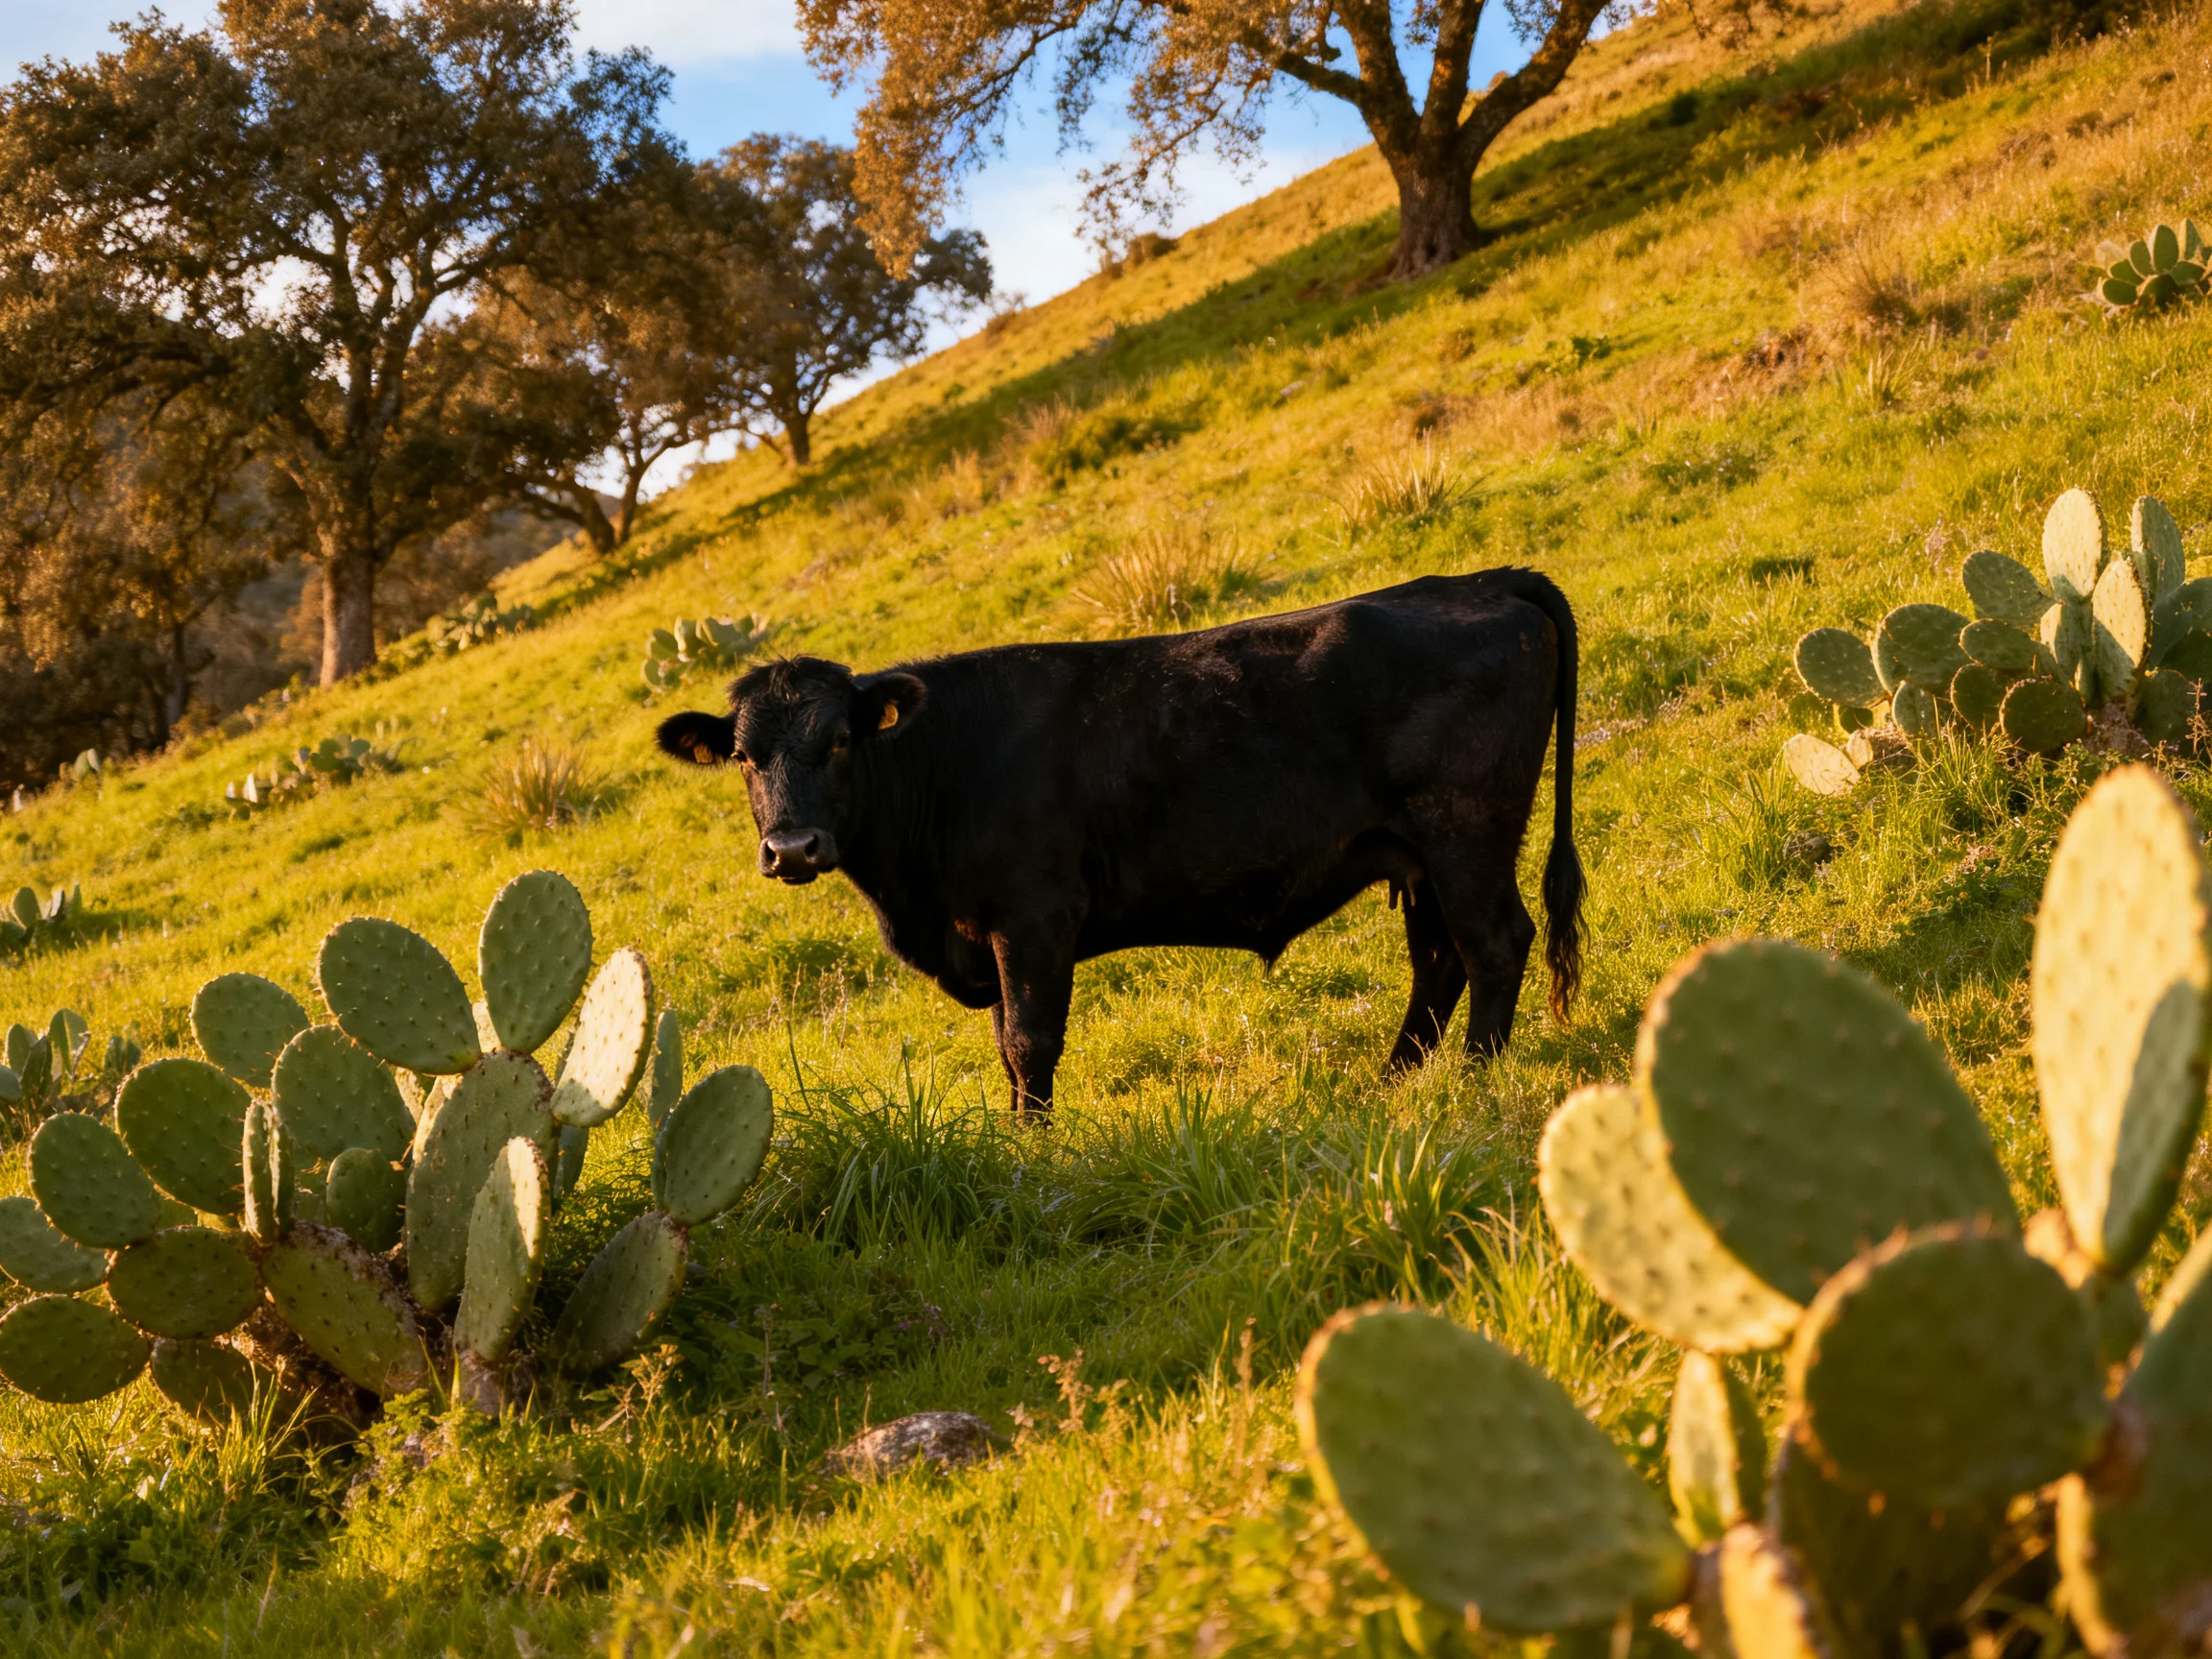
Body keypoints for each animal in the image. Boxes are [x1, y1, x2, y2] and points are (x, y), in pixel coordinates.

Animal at [656, 567, 1582, 1120]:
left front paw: (1034, 1148)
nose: (793, 847)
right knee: (1440, 960)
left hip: (1465, 837)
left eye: (842, 740)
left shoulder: (1032, 919)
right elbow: (1007, 1047)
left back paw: (1473, 1081)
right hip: (1416, 856)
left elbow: (1029, 1043)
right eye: (744, 756)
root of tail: (1478, 580)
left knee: (1495, 946)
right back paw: (1393, 1086)